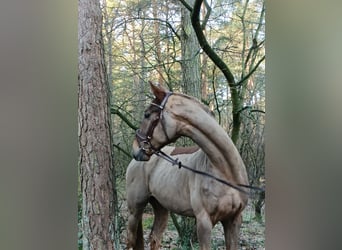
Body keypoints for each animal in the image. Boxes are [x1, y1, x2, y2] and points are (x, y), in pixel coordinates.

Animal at [125, 83, 248, 249]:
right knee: (130, 240)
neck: (225, 171)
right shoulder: (204, 222)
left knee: (155, 238)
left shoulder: (234, 220)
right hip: (134, 209)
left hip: (161, 208)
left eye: (147, 114)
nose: (136, 148)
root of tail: (134, 163)